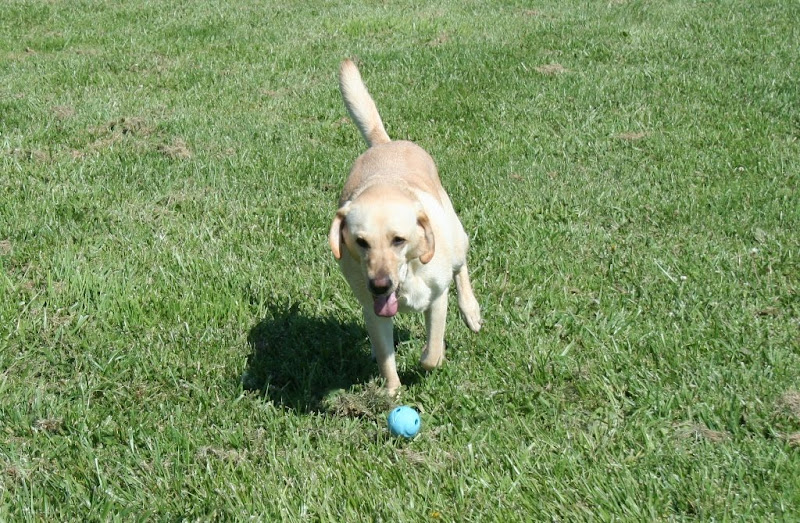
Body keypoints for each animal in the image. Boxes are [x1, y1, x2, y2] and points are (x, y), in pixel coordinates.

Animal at [326, 59, 482, 396]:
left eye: (398, 240)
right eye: (361, 242)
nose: (380, 285)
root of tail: (385, 144)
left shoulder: (437, 299)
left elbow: (432, 352)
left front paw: (430, 359)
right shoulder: (373, 310)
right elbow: (387, 357)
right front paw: (393, 393)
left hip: (455, 235)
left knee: (461, 268)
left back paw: (471, 311)